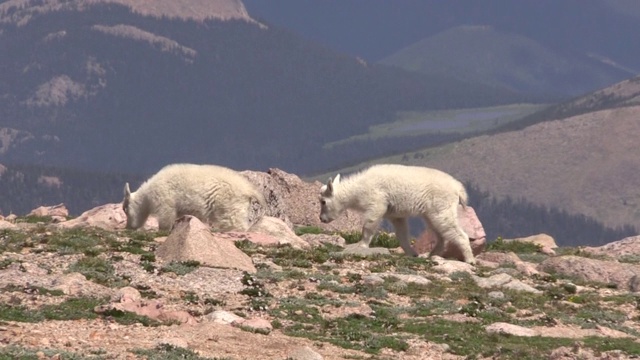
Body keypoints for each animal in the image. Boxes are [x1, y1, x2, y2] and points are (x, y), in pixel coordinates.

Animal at [122, 163, 264, 231]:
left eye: (125, 209)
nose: (129, 227)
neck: (147, 195)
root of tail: (250, 190)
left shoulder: (165, 199)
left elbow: (166, 217)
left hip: (229, 203)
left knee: (233, 221)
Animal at [320, 165, 476, 262]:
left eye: (323, 201)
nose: (322, 219)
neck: (358, 189)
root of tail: (459, 189)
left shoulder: (377, 202)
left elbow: (369, 224)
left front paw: (361, 245)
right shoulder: (395, 214)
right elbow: (401, 233)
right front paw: (412, 253)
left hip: (441, 208)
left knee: (455, 231)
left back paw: (469, 260)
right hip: (431, 213)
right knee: (441, 234)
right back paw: (430, 255)